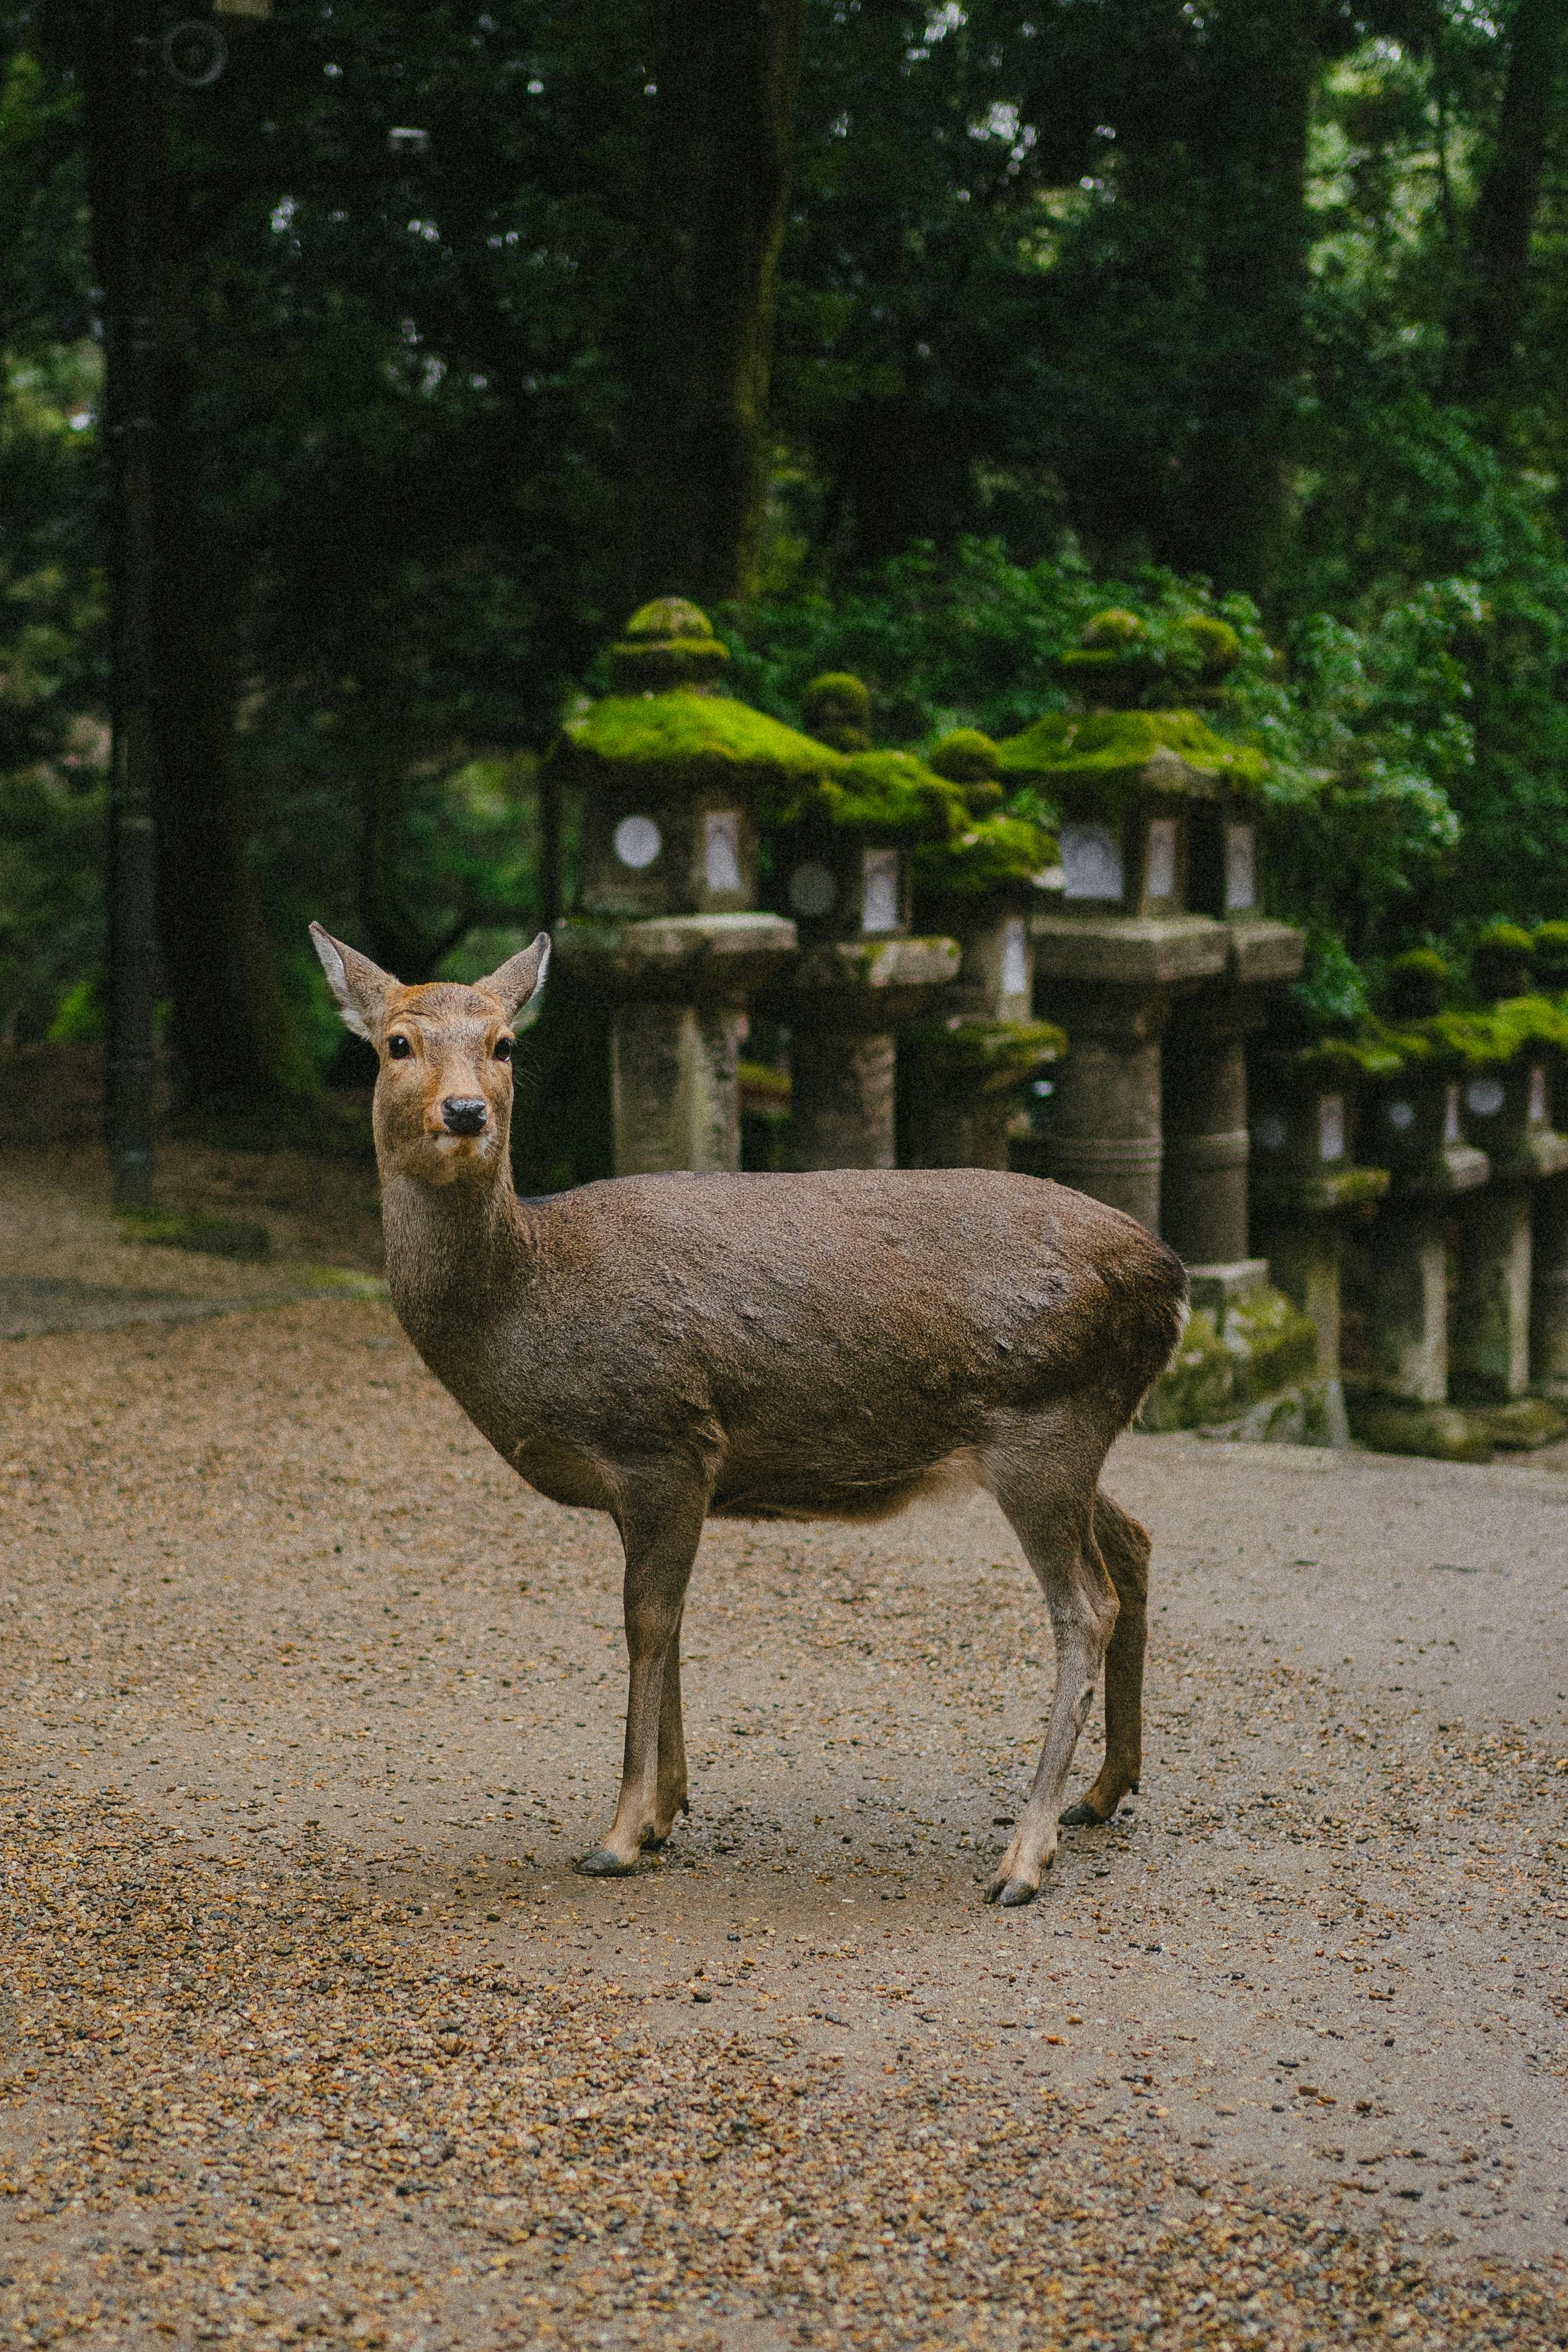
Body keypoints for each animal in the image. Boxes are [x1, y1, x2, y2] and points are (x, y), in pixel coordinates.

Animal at [309, 921, 1187, 1906]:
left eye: (504, 1043)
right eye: (396, 1042)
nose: (464, 1112)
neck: (527, 1303)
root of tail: (1171, 1278)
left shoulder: (660, 1436)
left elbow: (646, 1621)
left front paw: (619, 1831)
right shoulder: (658, 1475)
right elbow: (671, 1618)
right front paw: (665, 1810)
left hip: (1043, 1423)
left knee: (1085, 1603)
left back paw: (1024, 1854)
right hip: (1078, 1429)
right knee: (1135, 1541)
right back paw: (1103, 1791)